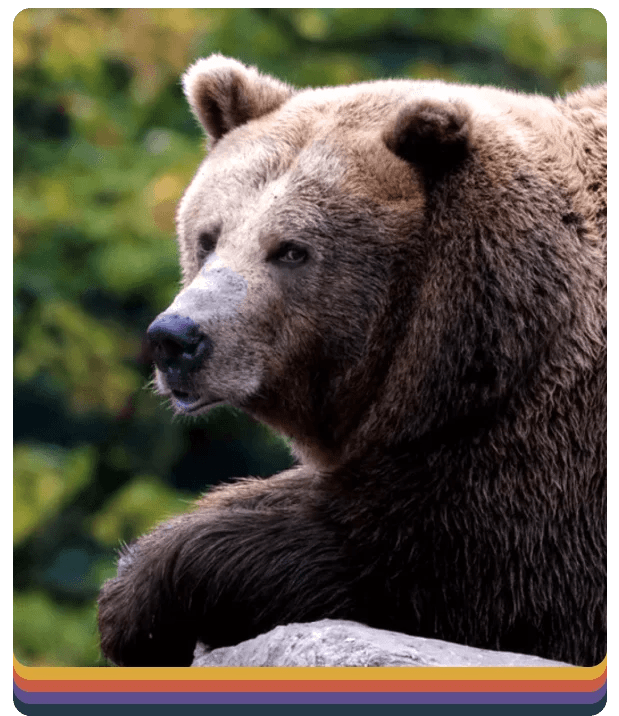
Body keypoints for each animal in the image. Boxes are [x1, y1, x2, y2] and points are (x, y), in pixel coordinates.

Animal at [98, 55, 606, 668]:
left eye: (291, 249)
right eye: (208, 237)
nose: (176, 338)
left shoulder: (545, 448)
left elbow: (429, 558)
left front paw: (140, 594)